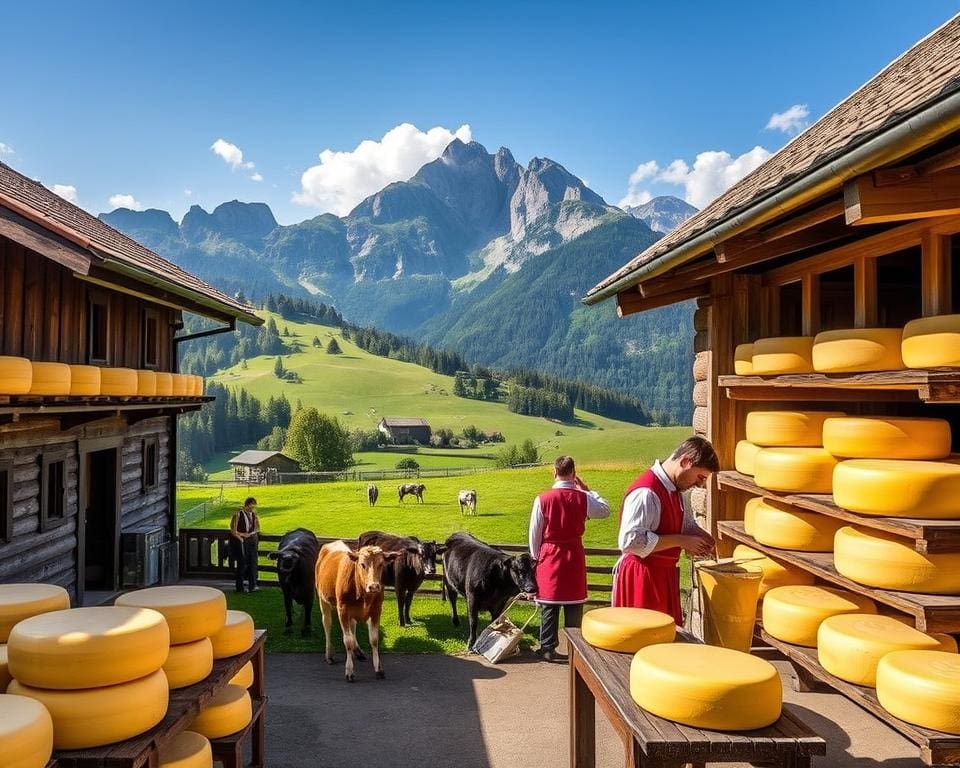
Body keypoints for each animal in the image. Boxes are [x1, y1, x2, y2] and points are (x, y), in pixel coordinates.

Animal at [314, 540, 400, 684]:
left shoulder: (376, 610)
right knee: (327, 624)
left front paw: (378, 669)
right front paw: (349, 671)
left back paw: (357, 651)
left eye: (381, 564)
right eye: (362, 564)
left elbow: (374, 639)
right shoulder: (342, 610)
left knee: (352, 626)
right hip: (323, 599)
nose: (374, 586)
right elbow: (347, 641)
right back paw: (329, 654)